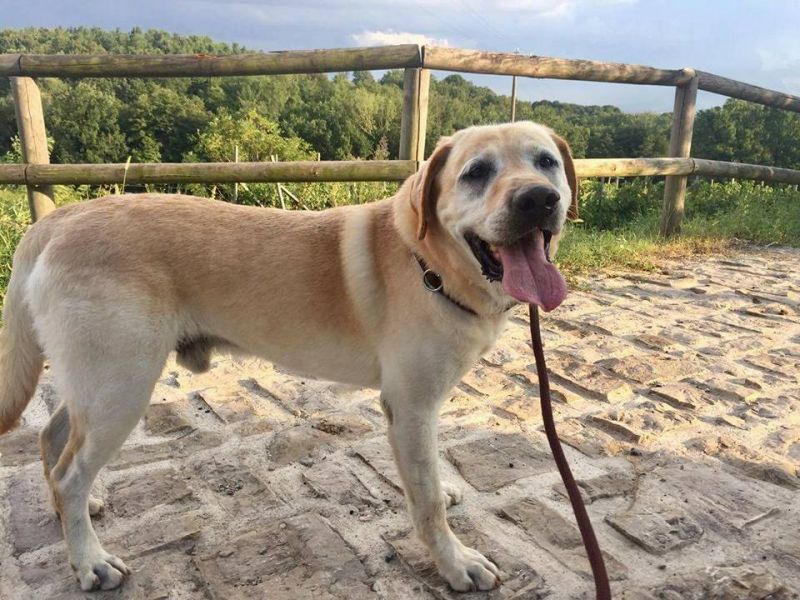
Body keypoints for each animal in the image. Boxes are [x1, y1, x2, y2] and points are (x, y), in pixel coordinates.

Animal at [0, 120, 576, 592]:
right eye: (476, 173)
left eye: (546, 161)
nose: (538, 200)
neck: (428, 261)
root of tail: (58, 220)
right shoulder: (410, 407)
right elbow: (428, 503)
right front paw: (455, 564)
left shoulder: (419, 412)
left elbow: (429, 477)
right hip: (121, 387)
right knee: (69, 472)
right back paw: (89, 559)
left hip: (97, 384)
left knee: (53, 438)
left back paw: (75, 512)